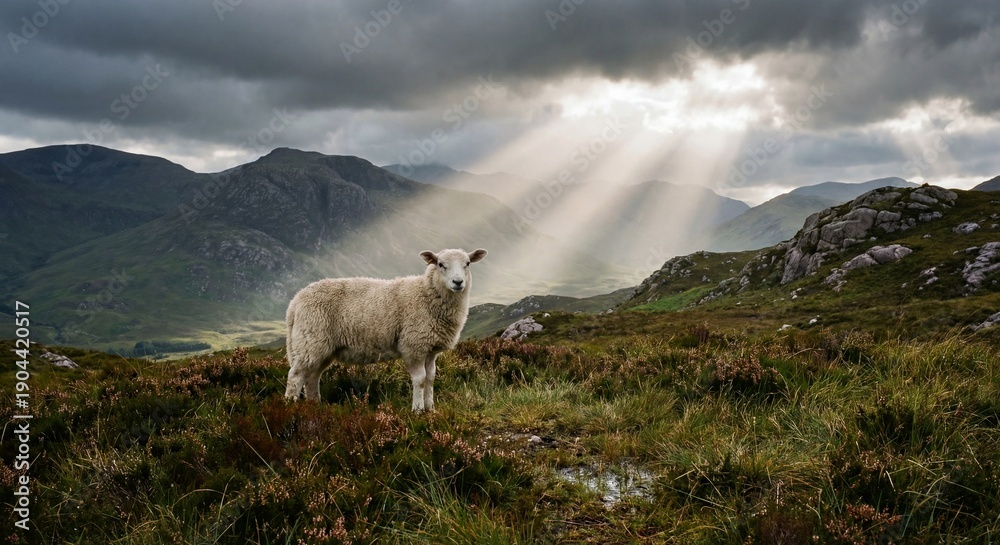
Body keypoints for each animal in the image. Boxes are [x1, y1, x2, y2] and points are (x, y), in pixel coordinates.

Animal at [284, 248, 487, 412]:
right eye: (440, 264)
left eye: (467, 263)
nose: (458, 282)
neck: (426, 293)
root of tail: (294, 302)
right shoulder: (413, 346)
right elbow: (420, 379)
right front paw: (417, 410)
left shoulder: (430, 349)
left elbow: (430, 378)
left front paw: (431, 409)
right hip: (310, 341)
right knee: (295, 376)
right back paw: (289, 407)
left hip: (322, 348)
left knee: (312, 377)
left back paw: (314, 406)